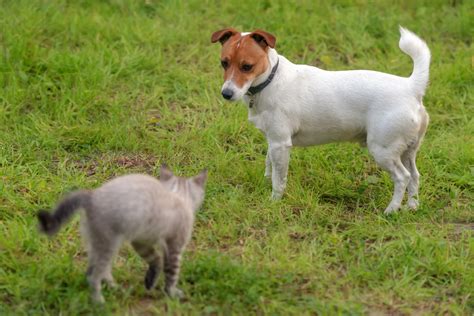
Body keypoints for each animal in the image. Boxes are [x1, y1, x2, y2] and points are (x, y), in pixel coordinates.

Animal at [37, 164, 207, 302]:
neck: (177, 195)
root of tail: (91, 195)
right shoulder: (174, 247)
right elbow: (172, 272)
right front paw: (171, 293)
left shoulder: (141, 241)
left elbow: (156, 260)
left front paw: (150, 282)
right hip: (108, 243)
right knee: (94, 275)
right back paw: (100, 302)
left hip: (97, 242)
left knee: (95, 270)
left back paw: (114, 289)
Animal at [211, 27, 430, 214]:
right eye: (224, 63)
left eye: (247, 66)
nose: (226, 94)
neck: (271, 80)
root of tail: (411, 87)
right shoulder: (273, 141)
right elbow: (269, 163)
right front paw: (265, 182)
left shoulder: (281, 144)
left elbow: (279, 178)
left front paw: (274, 201)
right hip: (407, 150)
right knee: (415, 176)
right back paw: (412, 206)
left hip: (383, 150)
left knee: (403, 177)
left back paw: (391, 210)